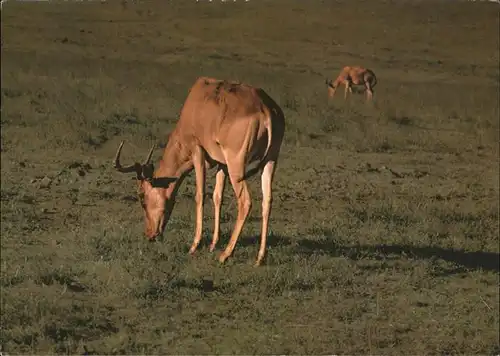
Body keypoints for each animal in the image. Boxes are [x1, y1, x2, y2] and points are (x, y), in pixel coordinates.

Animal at [113, 78, 286, 268]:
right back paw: (259, 257)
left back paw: (225, 255)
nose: (150, 235)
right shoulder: (222, 164)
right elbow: (217, 197)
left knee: (245, 201)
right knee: (267, 200)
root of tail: (266, 109)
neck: (196, 104)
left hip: (236, 167)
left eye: (142, 197)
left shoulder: (197, 152)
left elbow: (200, 195)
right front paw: (213, 244)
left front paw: (194, 245)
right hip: (270, 160)